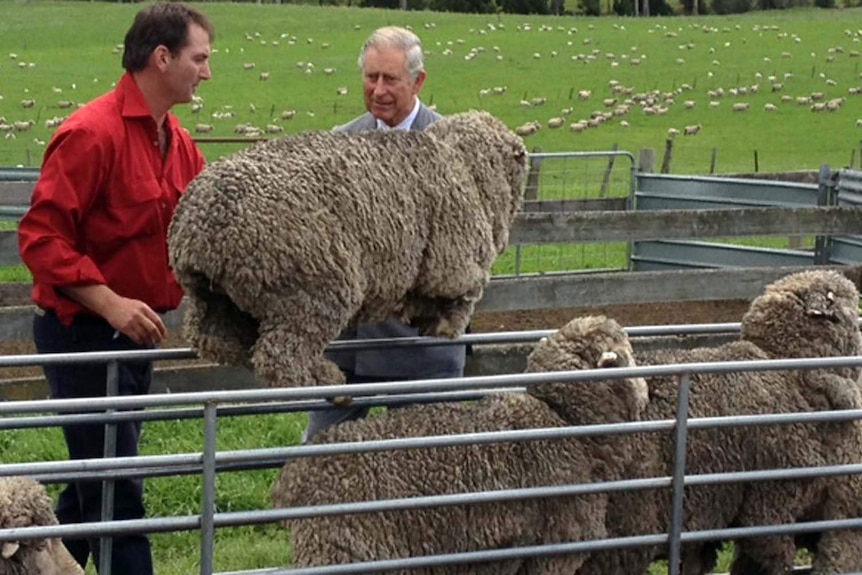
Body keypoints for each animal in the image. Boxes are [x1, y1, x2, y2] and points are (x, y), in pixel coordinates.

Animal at [165, 111, 524, 392]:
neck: (466, 166)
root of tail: (199, 228)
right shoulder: (454, 263)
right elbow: (458, 299)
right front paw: (445, 327)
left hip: (215, 296)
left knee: (216, 340)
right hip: (311, 286)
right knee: (280, 356)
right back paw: (325, 379)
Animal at [274, 318, 652, 572]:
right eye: (627, 355)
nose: (648, 385)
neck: (564, 420)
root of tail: (294, 479)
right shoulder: (555, 547)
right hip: (347, 546)